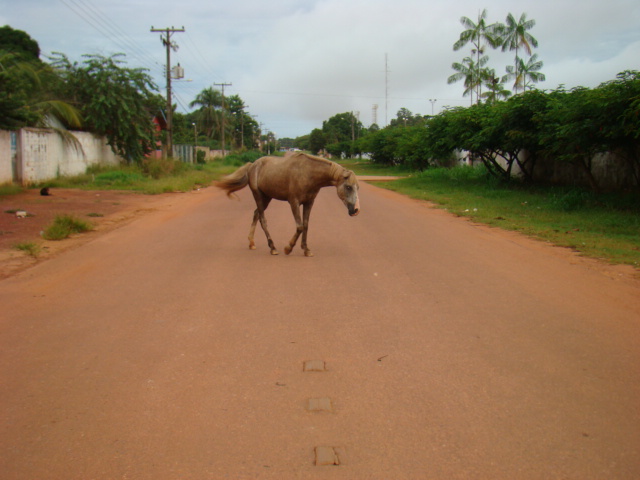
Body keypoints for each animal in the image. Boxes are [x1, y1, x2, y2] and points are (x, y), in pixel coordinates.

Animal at [215, 152, 360, 256]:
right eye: (348, 187)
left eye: (357, 187)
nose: (356, 210)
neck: (308, 173)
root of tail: (252, 165)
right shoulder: (293, 202)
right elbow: (299, 226)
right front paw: (288, 248)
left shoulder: (309, 202)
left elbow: (306, 225)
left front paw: (306, 249)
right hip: (258, 196)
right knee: (263, 220)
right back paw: (273, 247)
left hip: (267, 197)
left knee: (256, 214)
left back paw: (251, 242)